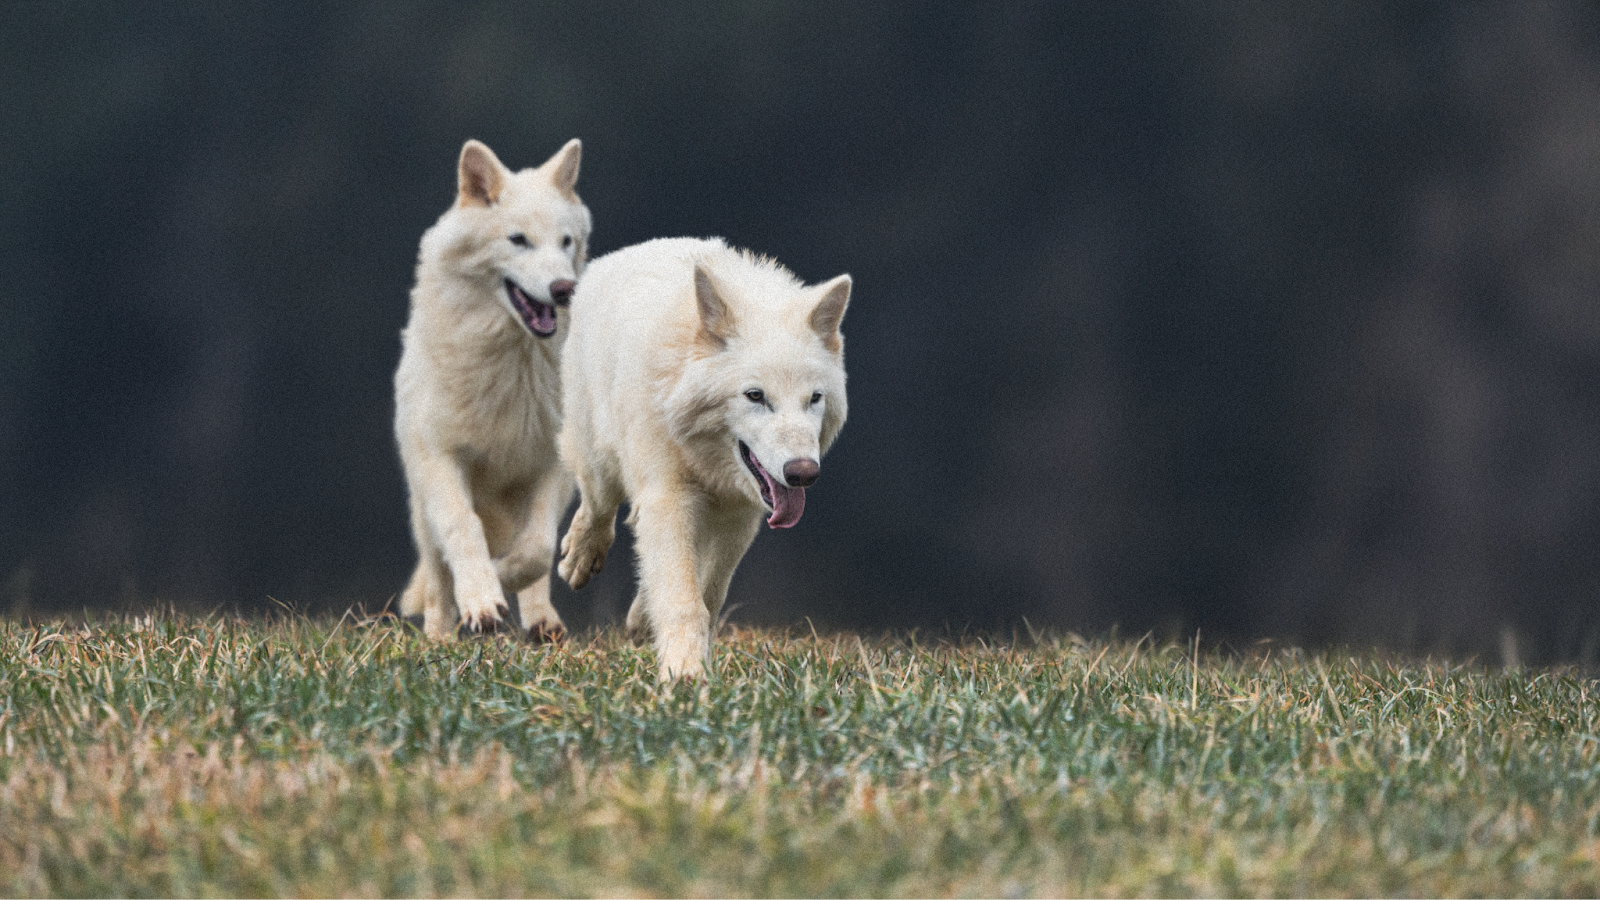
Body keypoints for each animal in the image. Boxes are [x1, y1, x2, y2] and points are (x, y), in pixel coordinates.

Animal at [394, 138, 590, 639]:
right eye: (518, 240)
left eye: (566, 242)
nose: (564, 289)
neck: (512, 362)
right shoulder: (442, 460)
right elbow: (464, 532)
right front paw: (481, 602)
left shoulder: (552, 465)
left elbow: (538, 548)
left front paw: (500, 580)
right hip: (422, 505)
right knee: (438, 574)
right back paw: (442, 633)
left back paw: (543, 624)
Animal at [556, 237, 851, 679]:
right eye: (755, 395)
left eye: (814, 398)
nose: (803, 473)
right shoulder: (669, 497)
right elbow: (684, 600)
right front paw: (684, 675)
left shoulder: (739, 517)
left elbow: (708, 595)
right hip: (599, 460)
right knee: (597, 507)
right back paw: (580, 555)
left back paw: (641, 616)